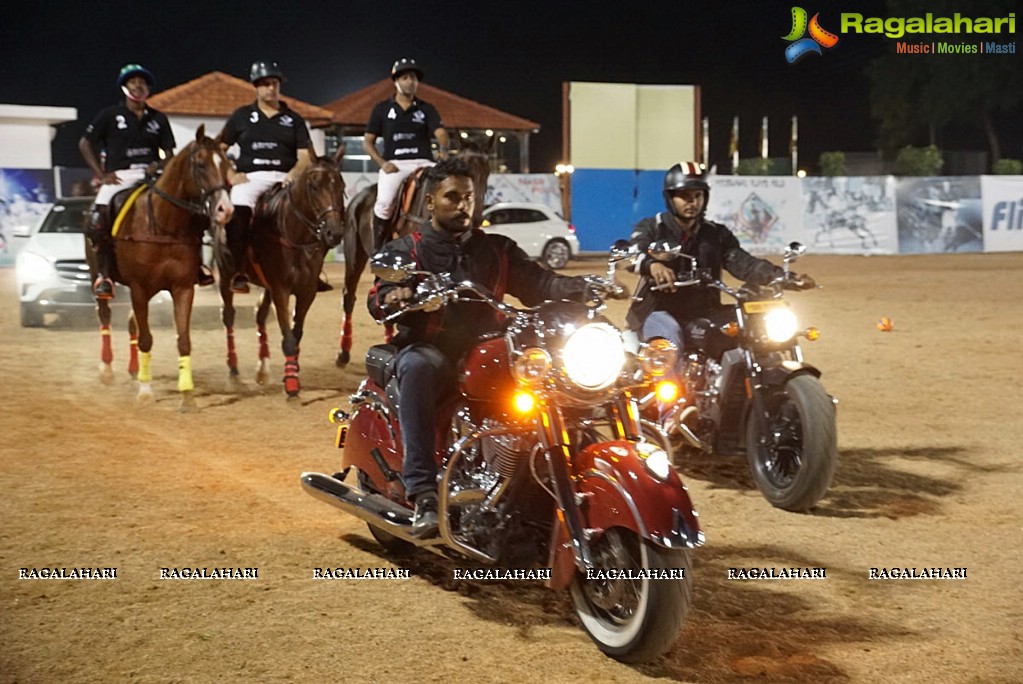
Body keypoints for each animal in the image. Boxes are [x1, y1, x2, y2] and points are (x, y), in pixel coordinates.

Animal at [88, 125, 234, 408]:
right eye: (201, 164)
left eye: (227, 165)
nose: (225, 210)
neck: (165, 224)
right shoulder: (139, 288)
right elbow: (146, 339)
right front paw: (146, 391)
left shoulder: (182, 287)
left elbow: (183, 340)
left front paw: (187, 396)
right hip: (100, 277)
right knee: (105, 316)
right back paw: (107, 368)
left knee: (132, 322)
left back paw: (134, 370)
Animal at [213, 148, 345, 394]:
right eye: (314, 185)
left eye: (341, 185)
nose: (334, 233)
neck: (295, 236)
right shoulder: (281, 289)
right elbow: (289, 338)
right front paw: (292, 383)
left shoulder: (306, 291)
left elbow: (296, 333)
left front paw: (291, 372)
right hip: (226, 277)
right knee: (228, 316)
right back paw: (233, 367)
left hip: (266, 286)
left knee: (260, 315)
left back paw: (262, 368)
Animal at [335, 134, 491, 366]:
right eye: (468, 167)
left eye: (488, 171)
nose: (475, 218)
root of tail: (359, 198)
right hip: (354, 255)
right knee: (349, 297)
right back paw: (344, 352)